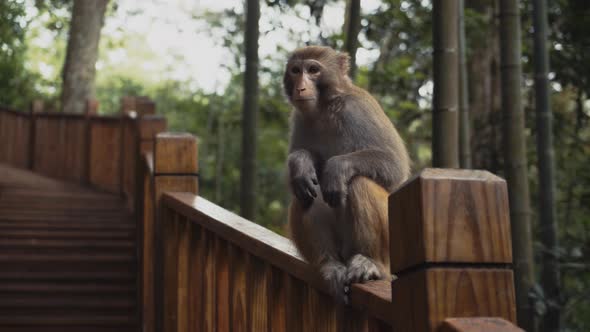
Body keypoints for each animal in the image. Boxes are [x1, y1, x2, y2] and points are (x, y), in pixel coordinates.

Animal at [286, 46, 412, 304]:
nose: (300, 87)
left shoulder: (358, 108)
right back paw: (330, 264)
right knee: (305, 195)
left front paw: (337, 167)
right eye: (295, 71)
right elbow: (303, 163)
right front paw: (301, 163)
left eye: (313, 70)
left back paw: (370, 262)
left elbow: (395, 165)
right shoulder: (299, 118)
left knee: (360, 183)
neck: (325, 106)